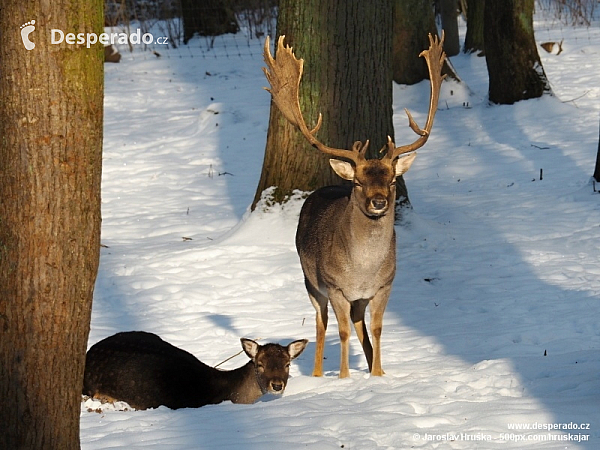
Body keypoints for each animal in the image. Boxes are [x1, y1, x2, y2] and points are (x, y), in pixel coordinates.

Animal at [264, 35, 446, 378]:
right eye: (359, 182)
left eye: (392, 180)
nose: (379, 201)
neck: (362, 270)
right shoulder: (335, 287)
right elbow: (342, 330)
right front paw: (345, 377)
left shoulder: (385, 284)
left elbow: (376, 328)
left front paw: (378, 375)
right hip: (311, 282)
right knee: (321, 323)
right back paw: (317, 373)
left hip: (356, 298)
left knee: (359, 323)